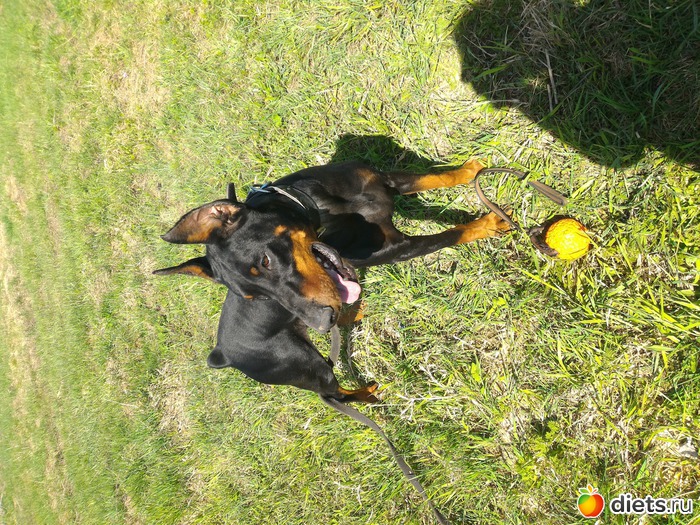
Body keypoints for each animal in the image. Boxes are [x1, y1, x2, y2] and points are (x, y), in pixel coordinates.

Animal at [155, 159, 510, 403]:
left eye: (265, 261)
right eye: (257, 298)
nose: (321, 322)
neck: (321, 208)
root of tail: (221, 353)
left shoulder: (384, 179)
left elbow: (433, 176)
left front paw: (470, 170)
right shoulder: (395, 248)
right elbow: (450, 235)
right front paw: (488, 223)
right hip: (309, 368)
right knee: (335, 395)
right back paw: (368, 392)